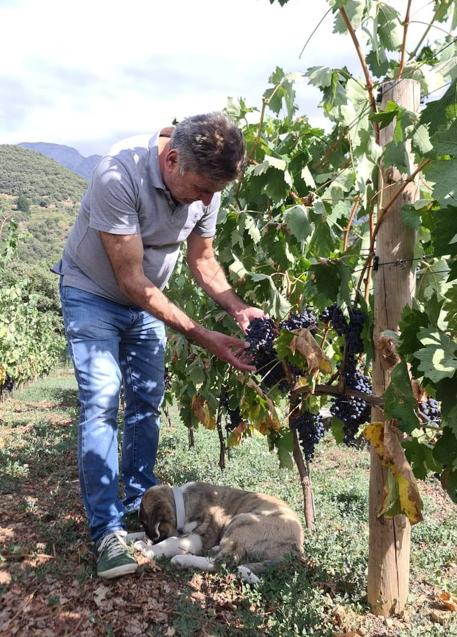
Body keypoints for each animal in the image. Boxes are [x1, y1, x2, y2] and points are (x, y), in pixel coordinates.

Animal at [132, 482, 302, 580]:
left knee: (221, 563)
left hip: (242, 521)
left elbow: (170, 541)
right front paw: (131, 536)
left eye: (145, 523)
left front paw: (146, 548)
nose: (148, 539)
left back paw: (182, 560)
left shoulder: (198, 538)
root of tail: (298, 549)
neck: (183, 503)